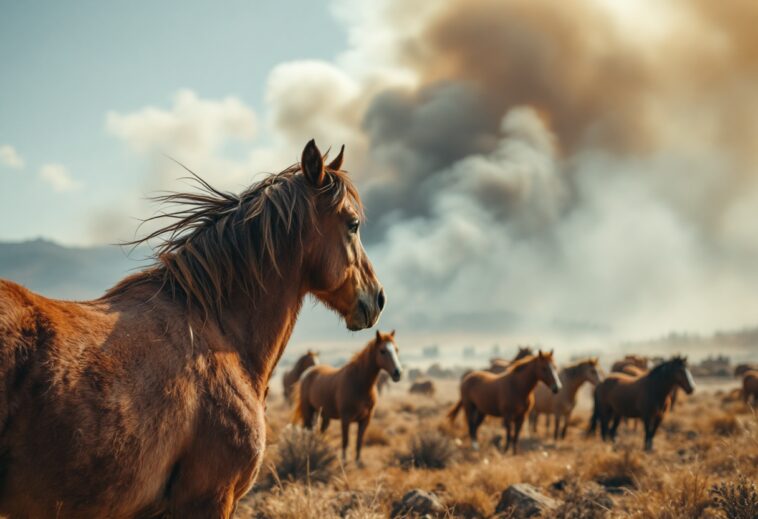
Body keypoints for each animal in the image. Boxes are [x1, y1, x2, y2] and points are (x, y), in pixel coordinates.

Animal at [292, 332, 404, 466]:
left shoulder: (365, 420)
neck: (359, 383)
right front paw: (344, 462)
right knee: (307, 429)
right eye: (383, 351)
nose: (398, 373)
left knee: (320, 431)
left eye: (396, 349)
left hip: (324, 415)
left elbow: (359, 441)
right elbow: (346, 441)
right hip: (308, 411)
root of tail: (307, 373)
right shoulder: (345, 419)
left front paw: (358, 462)